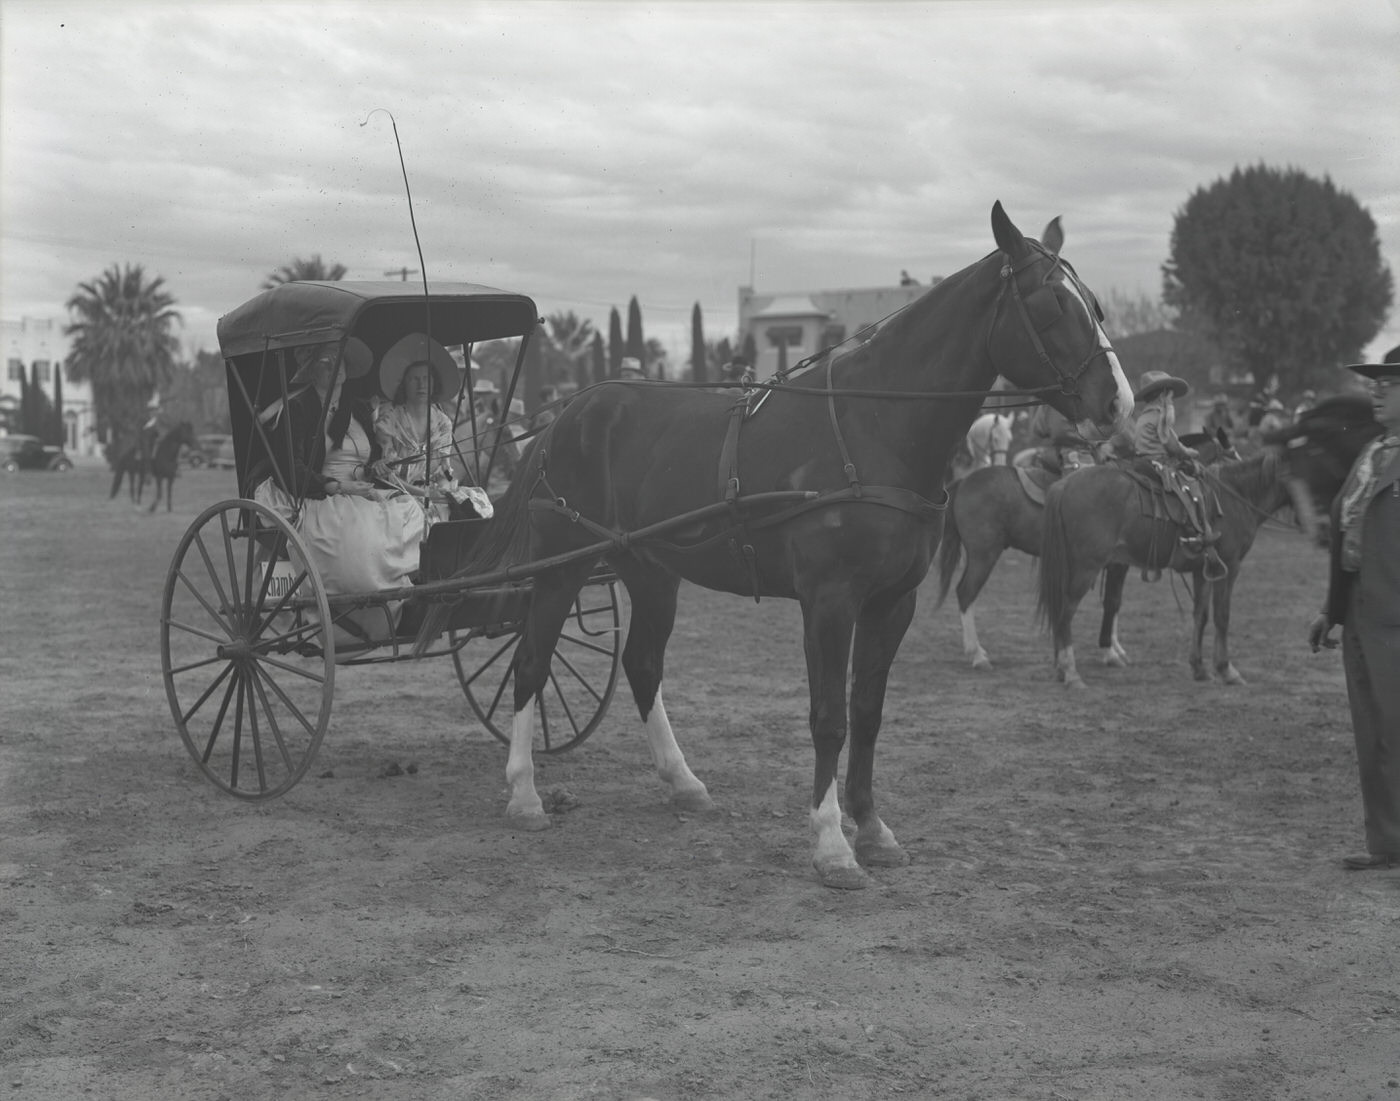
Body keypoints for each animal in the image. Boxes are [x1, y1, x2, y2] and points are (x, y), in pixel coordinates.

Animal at [416, 203, 1133, 889]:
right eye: (1052, 303)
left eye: (1095, 304)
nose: (1117, 403)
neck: (874, 427)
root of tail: (569, 411)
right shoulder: (830, 601)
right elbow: (829, 716)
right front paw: (832, 845)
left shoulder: (892, 602)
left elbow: (868, 712)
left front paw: (873, 828)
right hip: (562, 567)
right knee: (532, 661)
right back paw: (524, 792)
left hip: (649, 569)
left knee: (642, 663)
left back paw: (682, 781)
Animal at [936, 428, 1237, 671]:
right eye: (1231, 454)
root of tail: (964, 482)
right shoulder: (1117, 563)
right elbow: (1112, 602)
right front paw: (1110, 651)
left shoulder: (1114, 562)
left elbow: (1113, 603)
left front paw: (1114, 648)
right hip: (984, 554)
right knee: (966, 593)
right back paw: (977, 654)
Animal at [1036, 446, 1315, 688]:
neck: (1237, 497)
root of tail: (1063, 485)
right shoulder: (1230, 567)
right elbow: (1222, 616)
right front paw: (1227, 670)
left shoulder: (1205, 570)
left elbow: (1201, 616)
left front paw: (1199, 668)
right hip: (1086, 567)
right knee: (1065, 613)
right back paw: (1071, 673)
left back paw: (1062, 669)